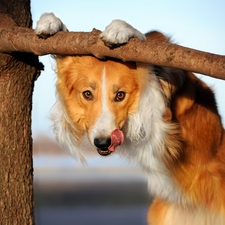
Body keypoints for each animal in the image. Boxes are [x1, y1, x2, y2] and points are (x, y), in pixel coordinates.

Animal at [35, 13, 225, 224]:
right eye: (87, 94)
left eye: (120, 95)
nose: (103, 143)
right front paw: (51, 22)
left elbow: (146, 63)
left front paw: (122, 29)